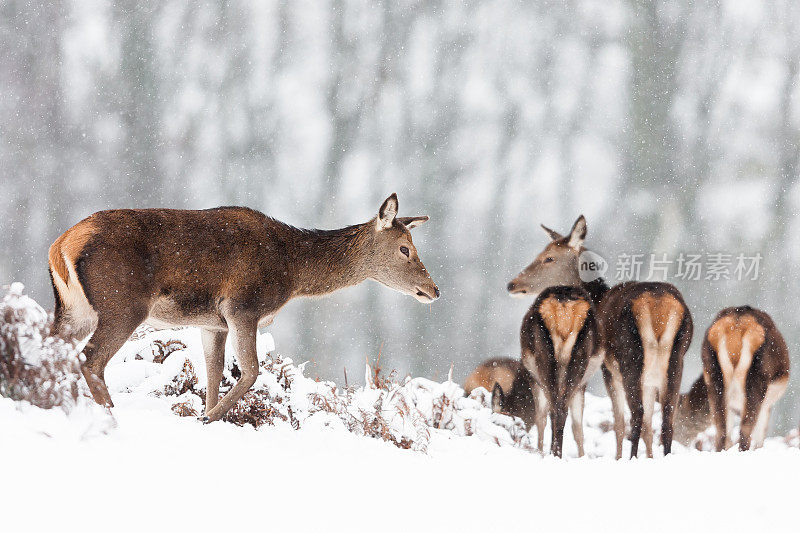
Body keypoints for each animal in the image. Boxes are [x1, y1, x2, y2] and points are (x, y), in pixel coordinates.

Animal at [48, 193, 444, 422]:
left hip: (73, 310)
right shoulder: (243, 306)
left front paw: (206, 414)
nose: (434, 289)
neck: (292, 272)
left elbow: (212, 375)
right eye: (405, 249)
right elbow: (252, 372)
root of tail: (62, 243)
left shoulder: (213, 322)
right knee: (90, 359)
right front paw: (209, 418)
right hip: (122, 303)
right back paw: (109, 415)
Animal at [520, 284, 596, 456]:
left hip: (544, 360)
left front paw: (540, 450)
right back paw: (556, 452)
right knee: (561, 409)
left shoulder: (533, 377)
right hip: (578, 359)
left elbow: (540, 417)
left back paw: (553, 452)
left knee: (554, 409)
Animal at [700, 306, 788, 450]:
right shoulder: (767, 405)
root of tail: (737, 326)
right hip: (757, 380)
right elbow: (760, 436)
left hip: (713, 376)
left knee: (721, 431)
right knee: (745, 430)